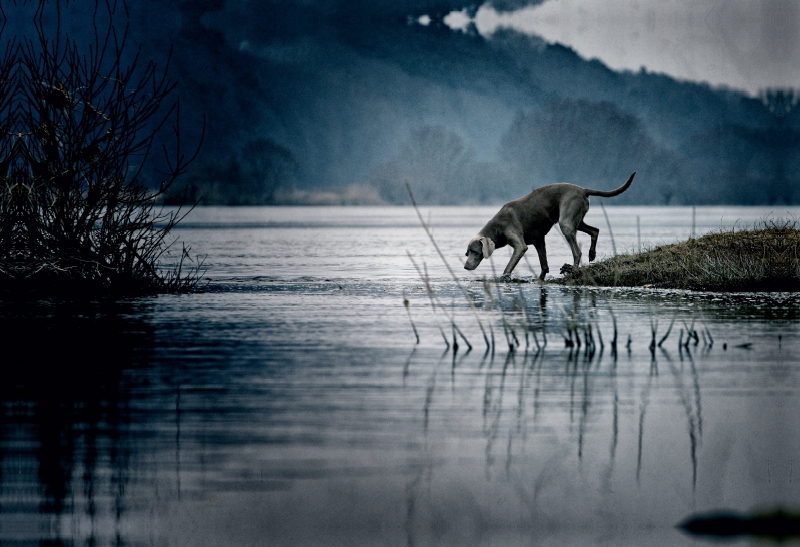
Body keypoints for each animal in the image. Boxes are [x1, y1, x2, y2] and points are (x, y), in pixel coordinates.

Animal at [466, 173, 636, 280]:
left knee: (577, 252)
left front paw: (502, 279)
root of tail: (582, 189)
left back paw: (574, 270)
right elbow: (544, 266)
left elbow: (509, 267)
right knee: (595, 230)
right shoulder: (538, 240)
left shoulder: (520, 245)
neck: (497, 227)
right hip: (576, 220)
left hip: (566, 222)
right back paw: (592, 254)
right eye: (467, 253)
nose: (465, 267)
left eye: (475, 251)